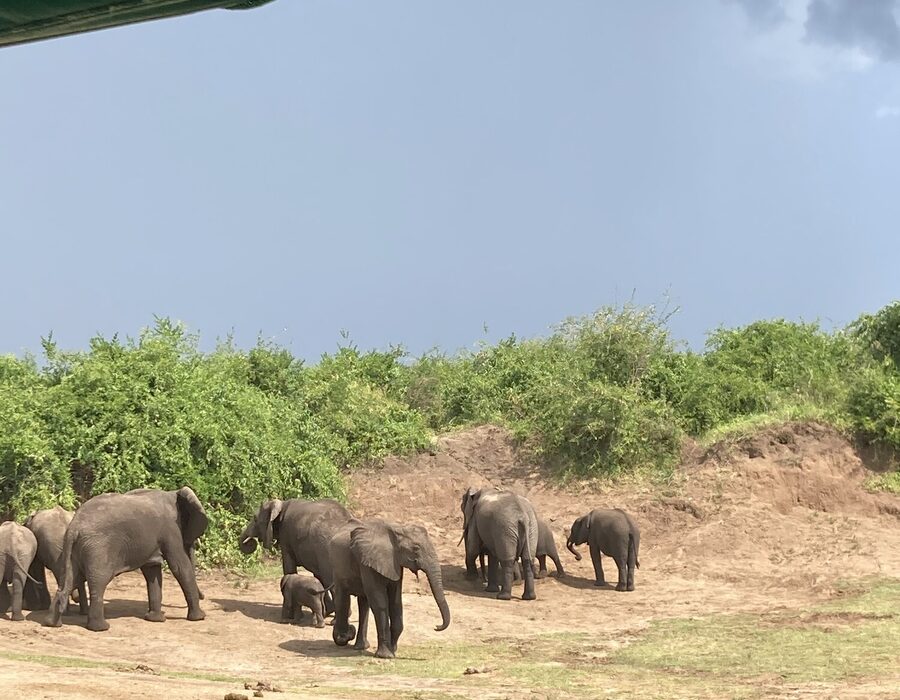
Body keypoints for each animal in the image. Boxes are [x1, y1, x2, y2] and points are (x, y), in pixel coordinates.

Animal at [46, 487, 208, 631]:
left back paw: (53, 623)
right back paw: (101, 628)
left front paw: (155, 619)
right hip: (98, 549)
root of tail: (74, 527)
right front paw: (199, 617)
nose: (203, 597)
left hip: (75, 550)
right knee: (98, 582)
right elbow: (180, 567)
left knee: (70, 580)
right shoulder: (171, 530)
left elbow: (152, 571)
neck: (173, 494)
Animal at [329, 518, 450, 659]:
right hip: (337, 567)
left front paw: (393, 651)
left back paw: (360, 646)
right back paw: (344, 637)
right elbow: (380, 602)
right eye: (416, 548)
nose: (436, 626)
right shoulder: (368, 562)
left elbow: (396, 601)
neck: (397, 529)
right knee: (343, 597)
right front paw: (386, 655)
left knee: (363, 603)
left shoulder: (394, 563)